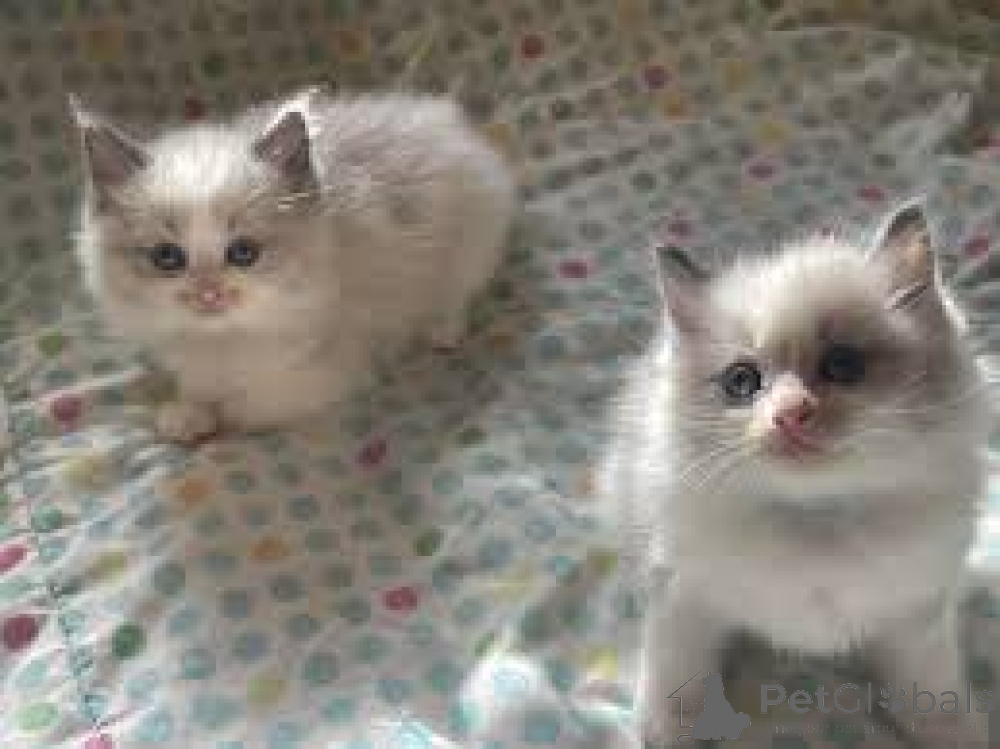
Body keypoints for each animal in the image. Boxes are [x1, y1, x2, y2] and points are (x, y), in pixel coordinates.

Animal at [71, 87, 515, 442]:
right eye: (167, 258)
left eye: (244, 252)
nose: (209, 294)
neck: (224, 339)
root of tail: (447, 121)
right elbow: (197, 386)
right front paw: (187, 413)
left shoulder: (330, 367)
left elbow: (247, 405)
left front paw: (215, 418)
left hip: (471, 239)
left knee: (458, 292)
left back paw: (442, 331)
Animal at [598, 202, 992, 746]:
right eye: (741, 382)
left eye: (843, 365)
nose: (789, 415)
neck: (815, 519)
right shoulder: (683, 601)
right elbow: (677, 677)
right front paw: (666, 733)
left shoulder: (917, 616)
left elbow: (931, 692)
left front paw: (954, 732)